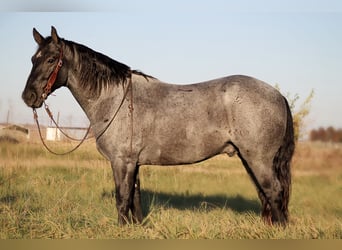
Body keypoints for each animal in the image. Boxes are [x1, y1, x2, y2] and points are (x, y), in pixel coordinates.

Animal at [22, 26, 294, 226]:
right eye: (33, 59)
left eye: (51, 59)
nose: (28, 97)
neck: (116, 99)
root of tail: (277, 95)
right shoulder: (133, 163)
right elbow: (135, 198)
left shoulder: (121, 162)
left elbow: (122, 198)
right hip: (249, 159)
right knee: (266, 194)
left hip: (258, 159)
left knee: (274, 192)